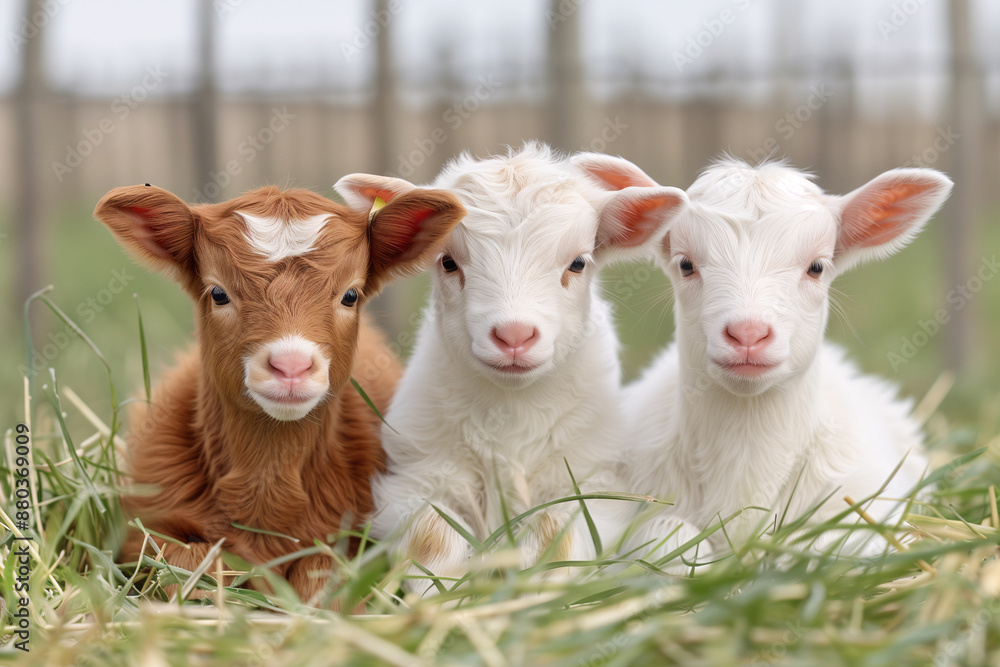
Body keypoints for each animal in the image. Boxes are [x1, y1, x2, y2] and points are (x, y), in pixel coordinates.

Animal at [95, 182, 464, 602]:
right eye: (218, 293)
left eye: (350, 295)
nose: (291, 366)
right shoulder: (144, 531)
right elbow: (189, 570)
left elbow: (323, 578)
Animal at [335, 143, 688, 595]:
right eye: (447, 262)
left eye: (578, 263)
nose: (514, 336)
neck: (511, 407)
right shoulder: (412, 480)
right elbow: (431, 535)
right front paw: (441, 592)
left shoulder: (596, 486)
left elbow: (558, 536)